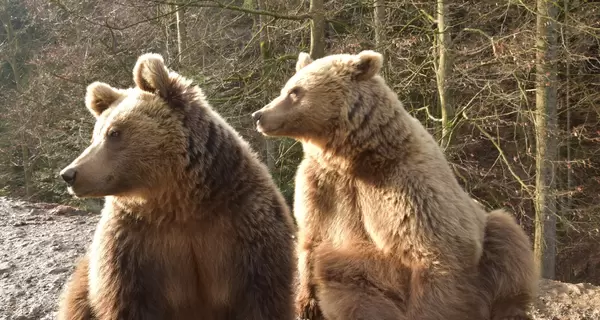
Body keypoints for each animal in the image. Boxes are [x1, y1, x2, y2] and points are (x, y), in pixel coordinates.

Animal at [57, 53, 296, 320]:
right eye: (95, 135)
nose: (69, 174)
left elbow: (262, 298)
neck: (179, 200)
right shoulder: (132, 247)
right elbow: (127, 301)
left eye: (114, 133)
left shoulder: (245, 229)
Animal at [251, 51, 536, 318]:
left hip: (486, 238)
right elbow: (311, 235)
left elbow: (435, 252)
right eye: (287, 88)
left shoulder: (406, 186)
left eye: (295, 92)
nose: (259, 115)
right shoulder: (320, 186)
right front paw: (307, 304)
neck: (354, 156)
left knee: (506, 239)